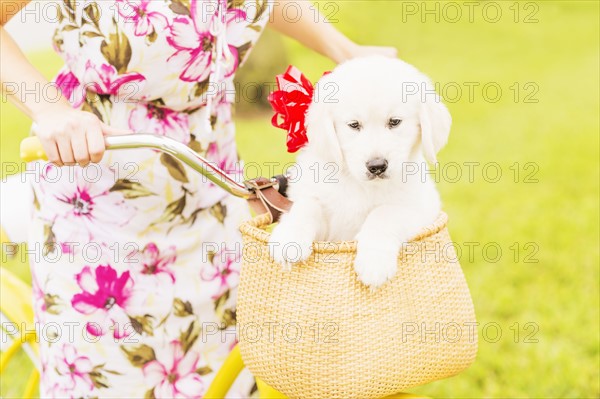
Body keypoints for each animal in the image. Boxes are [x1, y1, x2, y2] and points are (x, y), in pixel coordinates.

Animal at [268, 55, 450, 288]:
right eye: (354, 125)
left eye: (395, 122)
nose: (377, 166)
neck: (358, 184)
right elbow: (308, 206)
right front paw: (289, 238)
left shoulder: (421, 208)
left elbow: (384, 213)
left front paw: (374, 262)